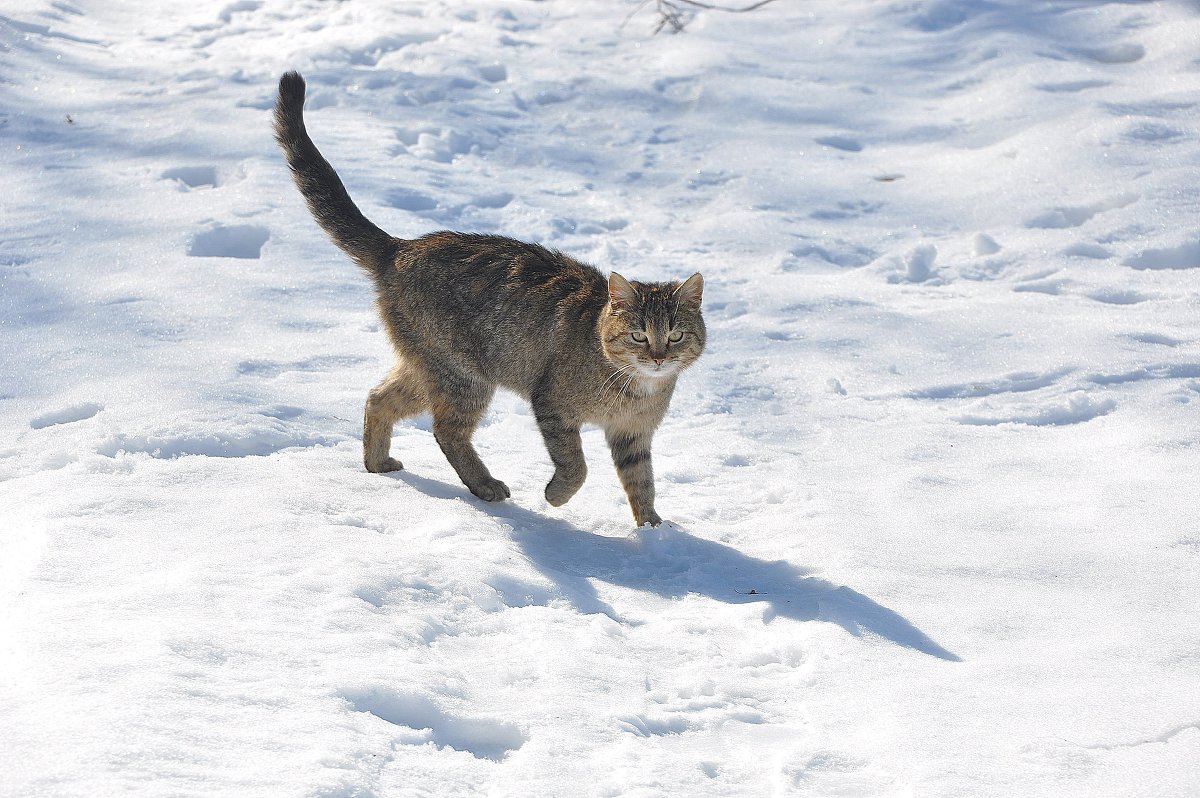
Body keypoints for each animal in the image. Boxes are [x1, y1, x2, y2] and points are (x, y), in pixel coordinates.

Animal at [272, 71, 700, 525]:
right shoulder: (552, 405)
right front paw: (555, 496)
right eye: (639, 335)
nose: (659, 357)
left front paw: (654, 531)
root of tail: (401, 247)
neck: (636, 388)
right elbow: (576, 465)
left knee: (379, 397)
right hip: (463, 374)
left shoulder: (633, 435)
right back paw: (484, 484)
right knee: (445, 429)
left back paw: (378, 463)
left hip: (430, 368)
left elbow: (642, 483)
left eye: (675, 335)